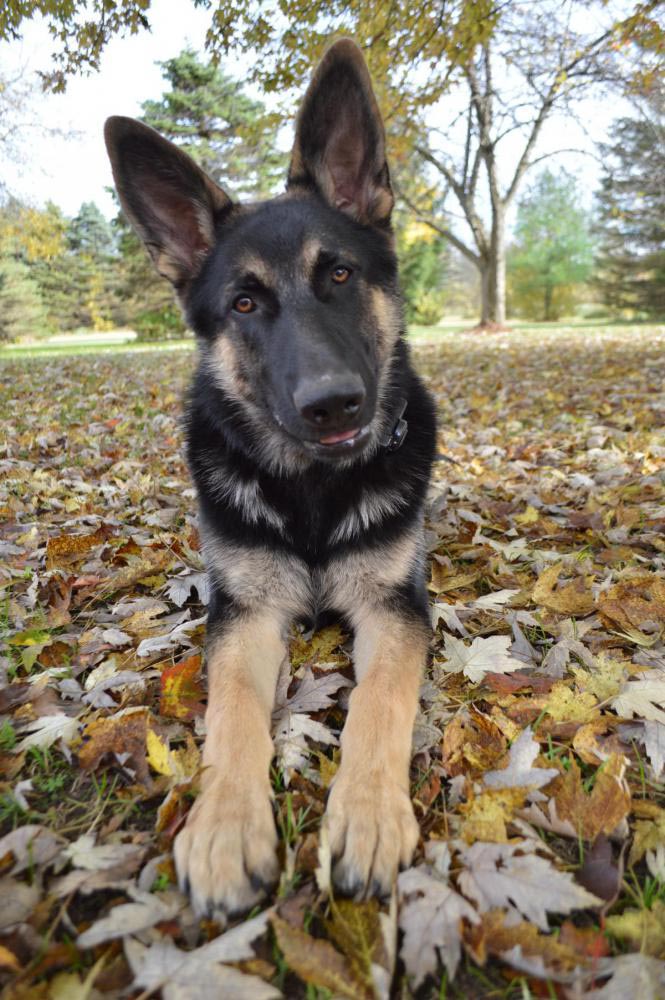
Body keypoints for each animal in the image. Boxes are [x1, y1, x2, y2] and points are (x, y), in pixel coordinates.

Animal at [104, 37, 436, 916]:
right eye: (244, 304)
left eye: (341, 276)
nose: (332, 403)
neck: (313, 490)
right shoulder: (245, 615)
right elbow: (231, 710)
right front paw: (224, 825)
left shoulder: (395, 608)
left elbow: (378, 704)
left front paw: (367, 815)